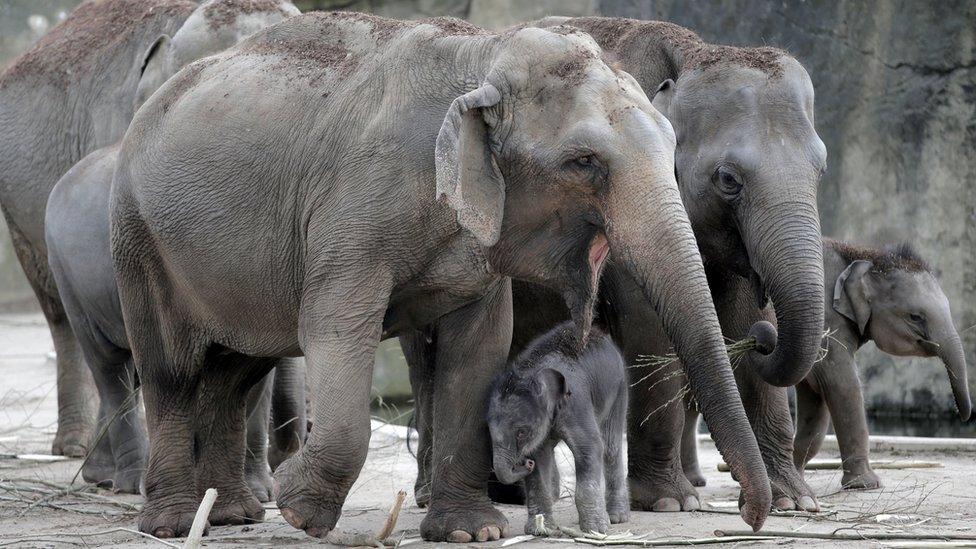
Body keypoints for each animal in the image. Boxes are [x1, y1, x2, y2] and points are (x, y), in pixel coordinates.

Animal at [408, 16, 828, 512]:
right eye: (728, 179)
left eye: (821, 170)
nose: (765, 342)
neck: (691, 54)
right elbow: (650, 326)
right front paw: (671, 503)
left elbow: (745, 311)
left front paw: (795, 502)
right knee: (426, 362)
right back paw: (435, 494)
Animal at [488, 322, 632, 536]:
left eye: (521, 432)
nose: (525, 463)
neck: (532, 371)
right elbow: (539, 457)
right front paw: (539, 530)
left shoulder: (575, 403)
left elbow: (590, 447)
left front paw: (596, 530)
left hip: (619, 388)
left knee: (610, 447)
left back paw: (617, 518)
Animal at [788, 240, 972, 488]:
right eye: (915, 317)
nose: (963, 416)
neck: (864, 257)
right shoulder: (826, 323)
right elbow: (842, 383)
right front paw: (866, 484)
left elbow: (815, 394)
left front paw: (796, 480)